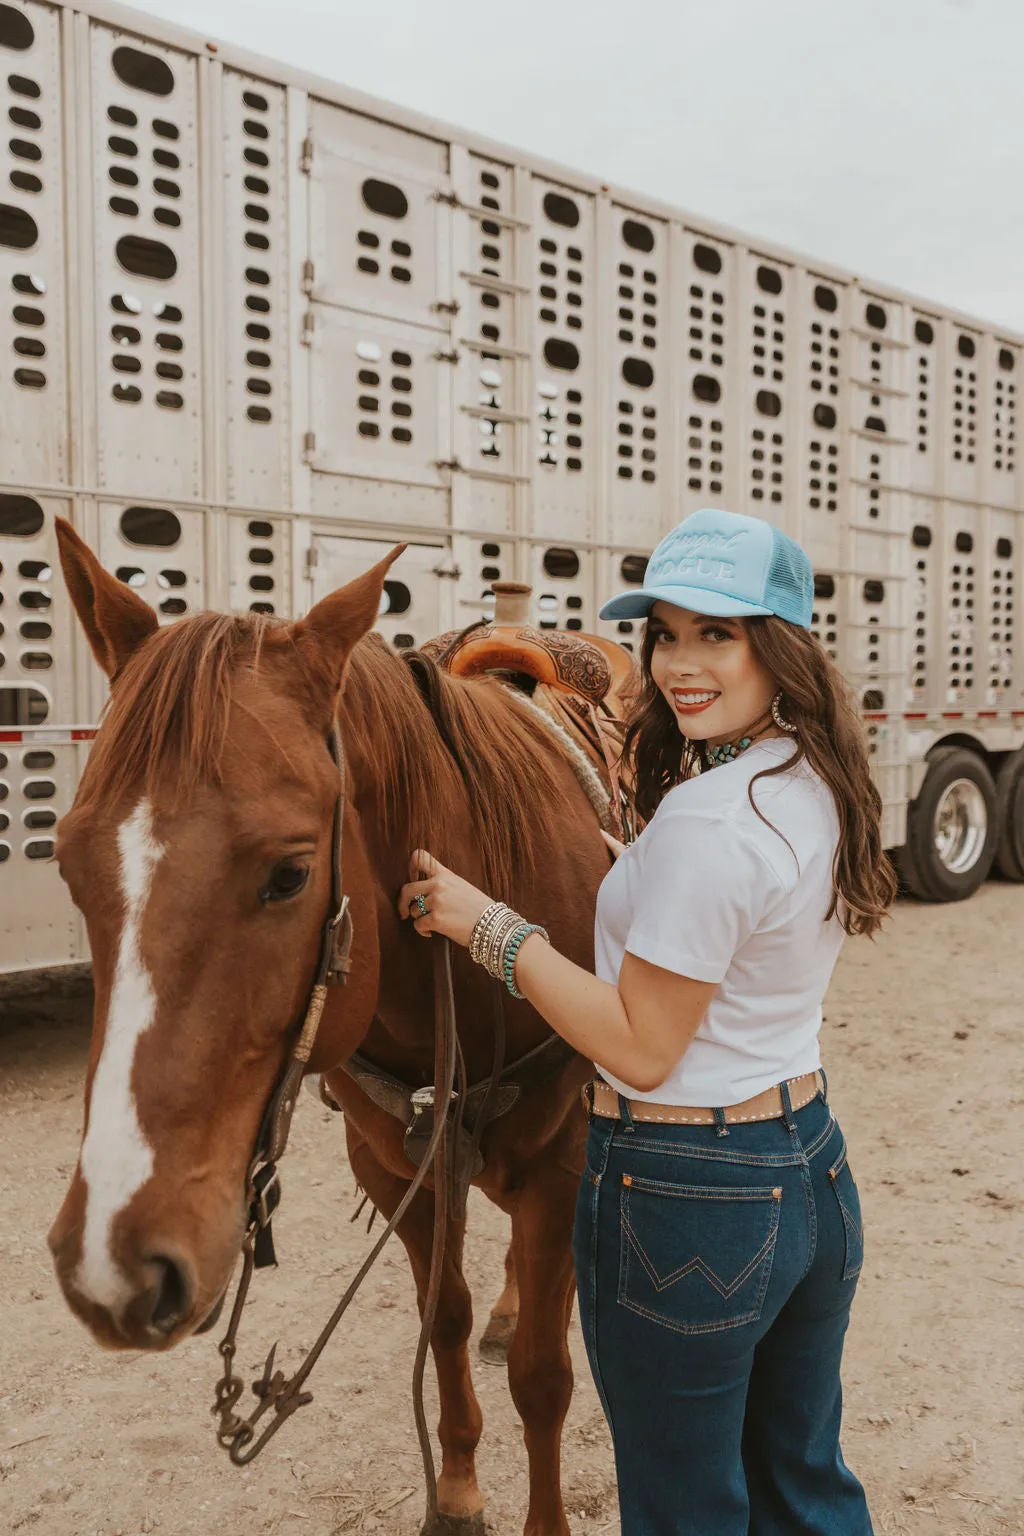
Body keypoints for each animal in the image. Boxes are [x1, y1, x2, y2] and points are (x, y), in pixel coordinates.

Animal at [46, 519, 607, 1536]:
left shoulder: (561, 1164)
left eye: (291, 875)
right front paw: (455, 1491)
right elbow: (443, 1317)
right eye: (69, 863)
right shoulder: (395, 1166)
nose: (114, 1261)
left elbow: (545, 1378)